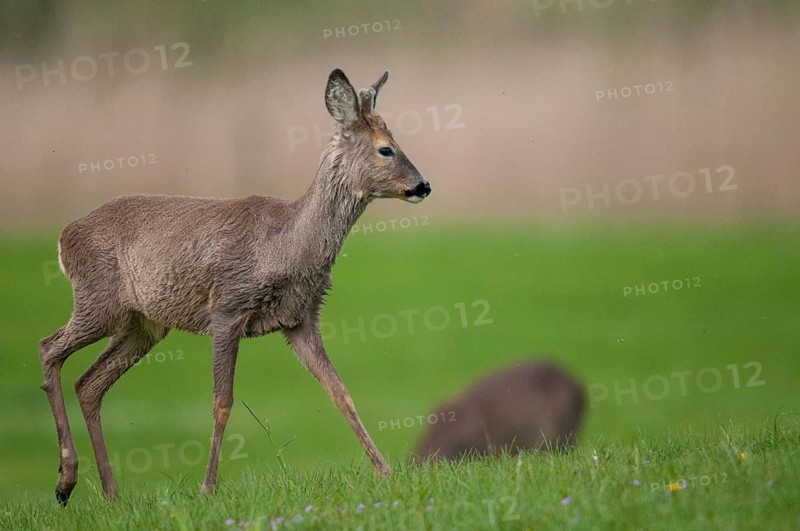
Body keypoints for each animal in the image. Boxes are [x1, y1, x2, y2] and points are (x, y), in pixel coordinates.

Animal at [38, 69, 431, 506]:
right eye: (386, 149)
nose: (423, 185)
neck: (287, 244)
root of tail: (63, 237)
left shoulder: (301, 319)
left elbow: (339, 391)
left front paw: (385, 470)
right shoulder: (227, 306)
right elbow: (222, 402)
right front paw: (208, 486)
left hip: (143, 324)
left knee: (89, 383)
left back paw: (110, 494)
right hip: (98, 302)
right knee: (49, 348)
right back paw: (65, 482)